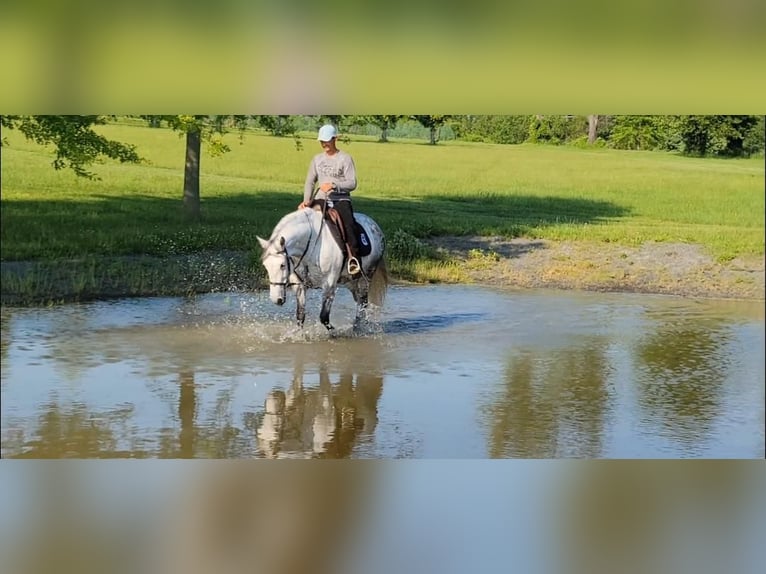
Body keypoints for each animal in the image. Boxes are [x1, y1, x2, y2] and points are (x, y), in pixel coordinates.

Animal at [258, 208, 390, 332]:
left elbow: (324, 317)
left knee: (362, 303)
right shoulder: (300, 285)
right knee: (359, 302)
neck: (311, 243)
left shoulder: (329, 285)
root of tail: (374, 226)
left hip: (365, 278)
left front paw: (335, 333)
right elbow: (300, 315)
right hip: (350, 281)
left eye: (282, 265)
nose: (277, 299)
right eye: (266, 266)